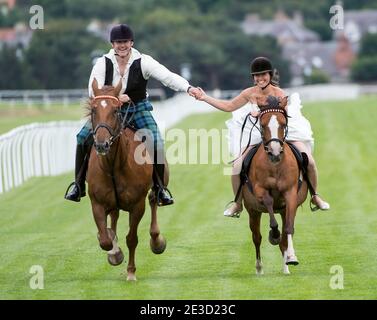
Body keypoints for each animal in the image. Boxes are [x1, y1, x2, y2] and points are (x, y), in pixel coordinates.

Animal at [88, 78, 166, 280]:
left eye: (116, 110)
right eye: (93, 110)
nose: (102, 144)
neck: (113, 166)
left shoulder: (137, 205)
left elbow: (131, 238)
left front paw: (131, 272)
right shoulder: (97, 203)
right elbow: (105, 240)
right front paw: (114, 253)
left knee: (154, 199)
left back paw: (157, 241)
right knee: (113, 217)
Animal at [242, 95, 306, 276]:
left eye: (283, 124)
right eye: (263, 125)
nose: (275, 152)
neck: (275, 165)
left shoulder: (290, 193)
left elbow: (289, 229)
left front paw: (292, 258)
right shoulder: (259, 190)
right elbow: (269, 202)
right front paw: (274, 233)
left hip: (283, 210)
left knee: (284, 237)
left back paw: (286, 266)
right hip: (252, 211)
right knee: (256, 237)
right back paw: (259, 267)